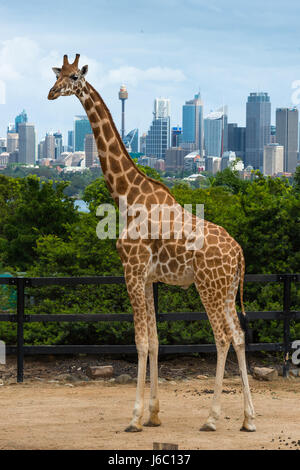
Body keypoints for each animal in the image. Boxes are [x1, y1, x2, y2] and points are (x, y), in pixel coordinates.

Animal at [48, 54, 255, 434]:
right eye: (57, 75)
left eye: (74, 77)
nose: (52, 93)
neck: (127, 196)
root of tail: (239, 254)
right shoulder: (146, 278)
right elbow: (156, 341)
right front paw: (154, 414)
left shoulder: (131, 269)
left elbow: (140, 341)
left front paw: (134, 418)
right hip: (227, 289)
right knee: (238, 335)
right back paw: (248, 419)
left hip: (208, 287)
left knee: (221, 337)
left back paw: (212, 418)